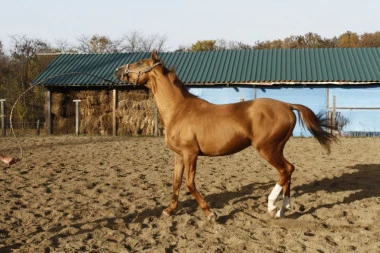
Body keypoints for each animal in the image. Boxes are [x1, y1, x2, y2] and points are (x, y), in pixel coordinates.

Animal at [114, 50, 336, 220]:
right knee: (288, 171)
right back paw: (283, 209)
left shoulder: (190, 154)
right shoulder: (179, 155)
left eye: (140, 62)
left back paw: (272, 205)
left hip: (267, 149)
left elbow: (189, 184)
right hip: (277, 148)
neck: (179, 109)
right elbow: (176, 182)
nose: (118, 70)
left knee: (286, 170)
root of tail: (287, 105)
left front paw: (210, 213)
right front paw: (169, 210)